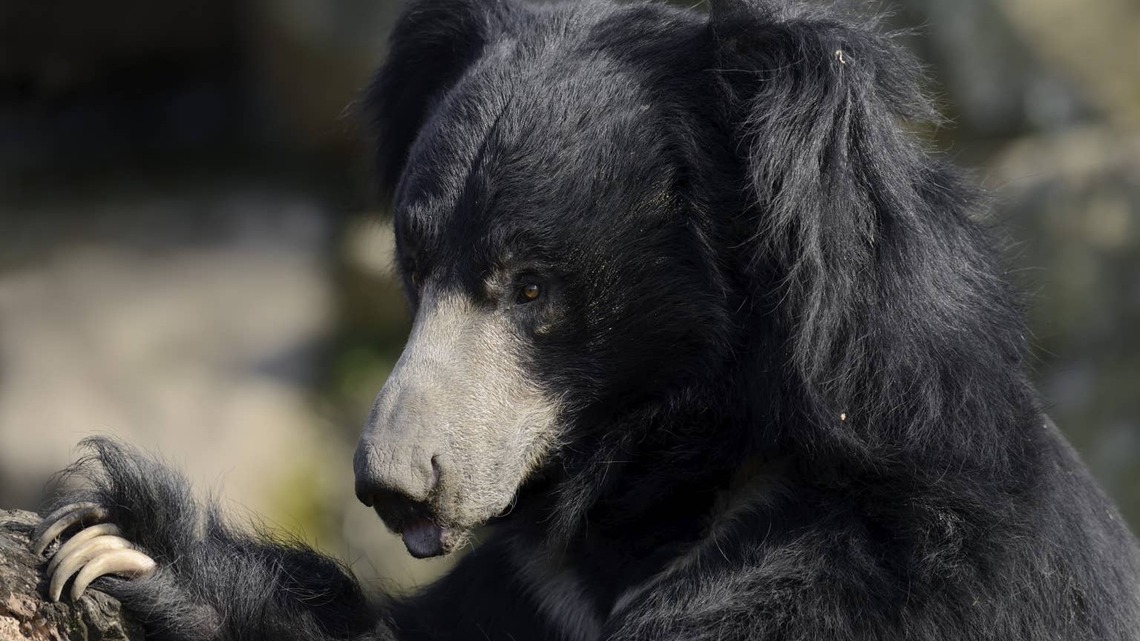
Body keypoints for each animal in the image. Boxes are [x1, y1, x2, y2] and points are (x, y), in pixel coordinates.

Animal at [32, 0, 1140, 639]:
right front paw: (122, 544)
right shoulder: (532, 589)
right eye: (416, 270)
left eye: (530, 286)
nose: (393, 484)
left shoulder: (859, 572)